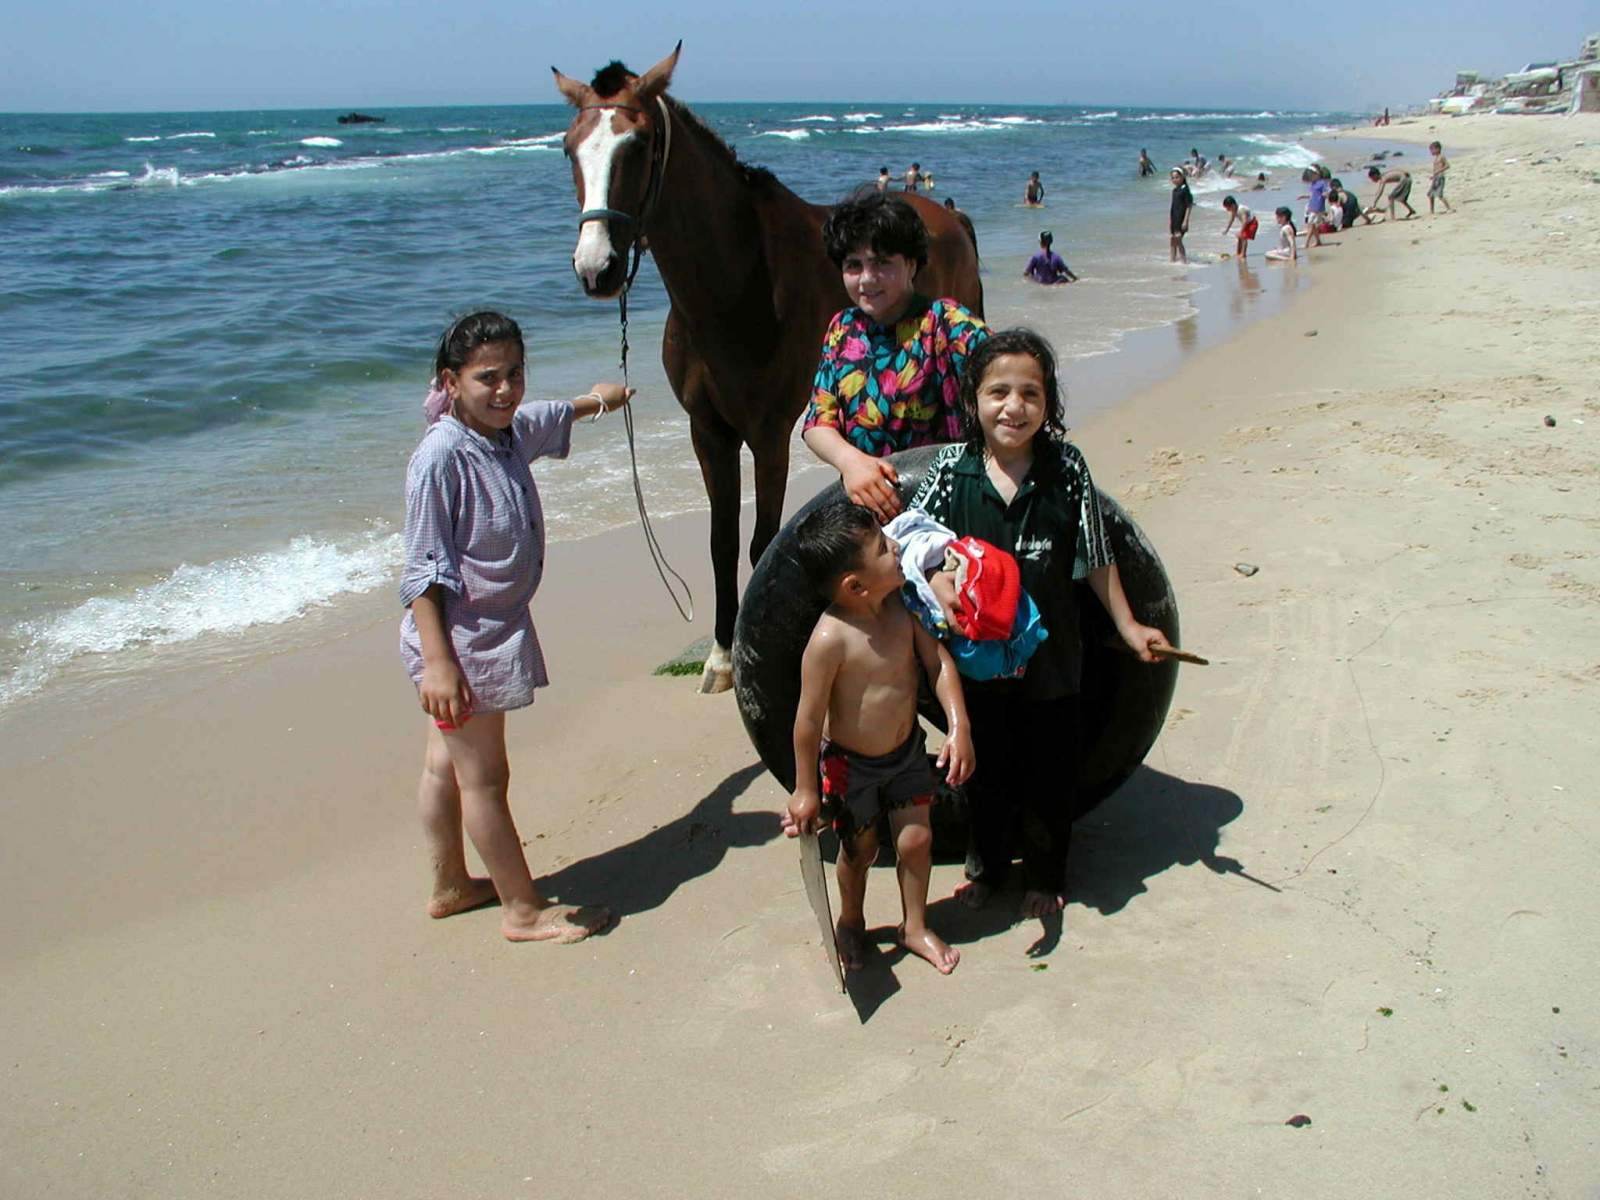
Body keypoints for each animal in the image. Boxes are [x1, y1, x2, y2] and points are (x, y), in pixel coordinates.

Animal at [552, 44, 984, 692]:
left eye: (640, 143)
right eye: (569, 146)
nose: (596, 267)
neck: (736, 284)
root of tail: (947, 216)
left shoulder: (769, 433)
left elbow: (761, 545)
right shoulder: (709, 431)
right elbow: (722, 543)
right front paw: (720, 656)